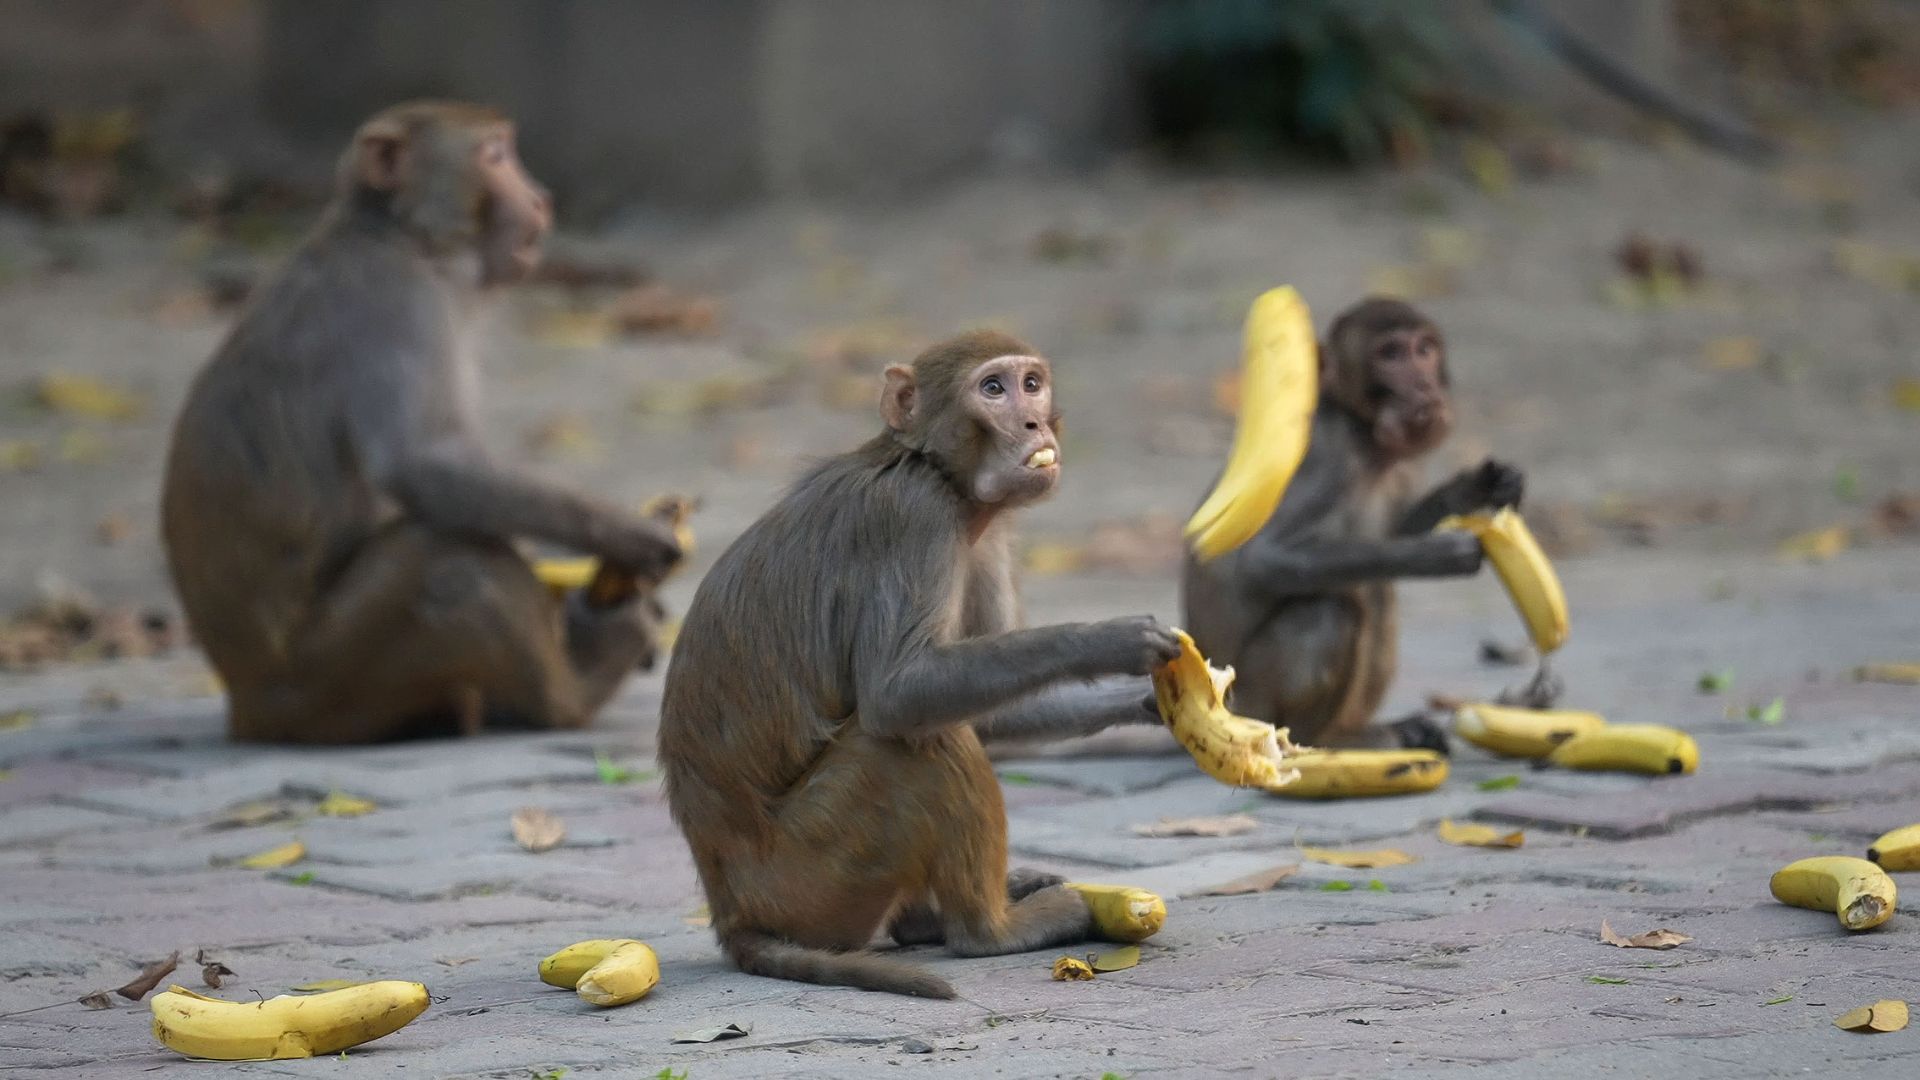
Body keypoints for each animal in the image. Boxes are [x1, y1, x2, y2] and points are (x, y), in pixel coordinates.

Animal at [159, 101, 681, 744]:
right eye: (495, 156)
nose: (540, 195)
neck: (398, 234)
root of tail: (246, 707)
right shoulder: (399, 301)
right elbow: (423, 465)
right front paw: (628, 535)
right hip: (323, 678)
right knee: (451, 561)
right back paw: (579, 684)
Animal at [657, 330, 1182, 999]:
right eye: (993, 389)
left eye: (1032, 384)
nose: (1035, 422)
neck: (935, 470)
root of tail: (731, 910)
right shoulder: (916, 516)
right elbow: (900, 693)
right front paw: (1109, 640)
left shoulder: (986, 537)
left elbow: (995, 713)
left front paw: (1155, 703)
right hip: (811, 875)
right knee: (917, 743)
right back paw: (989, 931)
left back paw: (932, 919)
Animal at [1181, 298, 1524, 753]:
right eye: (1390, 354)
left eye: (1424, 350)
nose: (1422, 385)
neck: (1367, 438)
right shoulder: (1326, 453)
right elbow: (1267, 558)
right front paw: (1441, 554)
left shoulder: (1401, 466)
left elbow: (1398, 530)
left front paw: (1473, 489)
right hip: (1251, 701)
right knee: (1334, 608)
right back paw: (1325, 738)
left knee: (1377, 592)